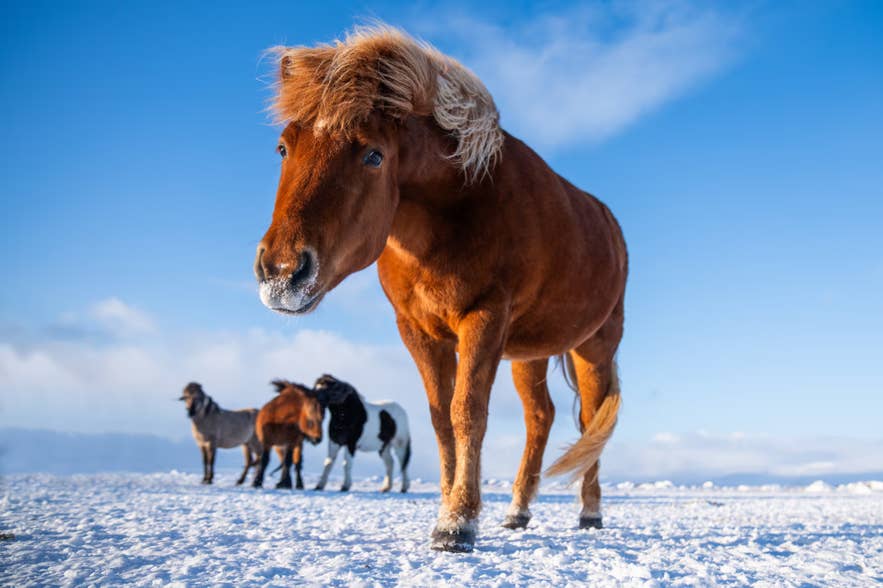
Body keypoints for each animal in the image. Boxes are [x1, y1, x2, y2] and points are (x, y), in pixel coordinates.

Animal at [253, 25, 627, 552]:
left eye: (373, 154)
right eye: (284, 148)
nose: (283, 274)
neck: (461, 205)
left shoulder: (484, 319)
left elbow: (467, 412)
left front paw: (457, 524)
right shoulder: (418, 331)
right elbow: (439, 417)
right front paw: (451, 509)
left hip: (594, 345)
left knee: (592, 418)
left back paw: (590, 511)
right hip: (529, 353)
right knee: (541, 418)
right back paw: (518, 510)